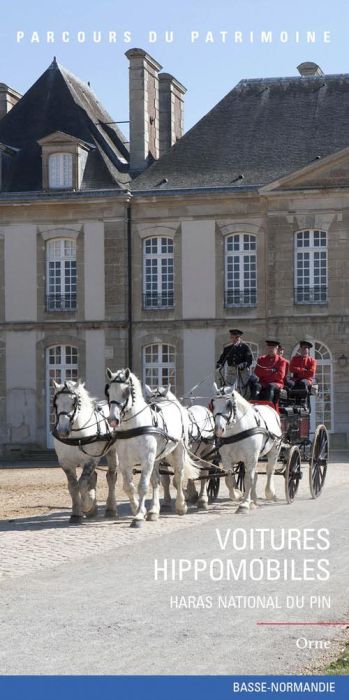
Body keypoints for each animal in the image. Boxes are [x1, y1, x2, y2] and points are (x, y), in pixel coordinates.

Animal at [52, 380, 118, 524]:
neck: (76, 436)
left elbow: (82, 484)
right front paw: (77, 513)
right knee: (93, 477)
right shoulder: (66, 463)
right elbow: (73, 486)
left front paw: (87, 504)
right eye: (55, 403)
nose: (62, 431)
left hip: (112, 452)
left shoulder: (91, 460)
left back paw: (110, 508)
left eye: (74, 403)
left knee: (111, 477)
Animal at [105, 370, 198, 528]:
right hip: (157, 458)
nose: (112, 420)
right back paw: (154, 511)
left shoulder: (146, 459)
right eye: (109, 391)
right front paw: (138, 509)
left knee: (178, 477)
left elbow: (142, 486)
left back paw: (181, 506)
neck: (134, 426)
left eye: (126, 391)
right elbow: (129, 487)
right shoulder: (125, 462)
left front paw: (138, 517)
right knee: (156, 481)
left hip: (178, 451)